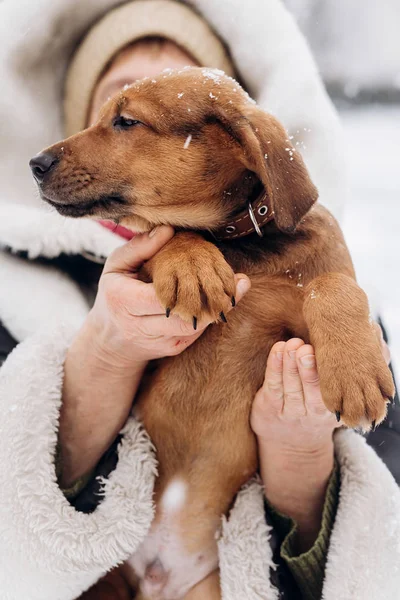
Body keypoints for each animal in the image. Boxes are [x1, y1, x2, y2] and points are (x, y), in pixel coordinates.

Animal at [30, 68, 394, 596]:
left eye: (126, 120)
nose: (34, 164)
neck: (242, 244)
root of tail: (158, 573)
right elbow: (165, 233)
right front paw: (192, 265)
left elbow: (333, 284)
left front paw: (356, 372)